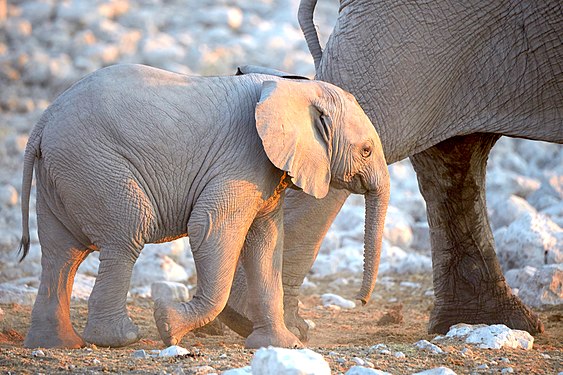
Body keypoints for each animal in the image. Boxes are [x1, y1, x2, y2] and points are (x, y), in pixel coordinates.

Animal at [20, 64, 392, 350]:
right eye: (367, 151)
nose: (360, 301)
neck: (294, 88)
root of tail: (43, 121)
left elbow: (266, 244)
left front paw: (282, 346)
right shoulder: (241, 160)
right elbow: (210, 228)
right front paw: (167, 325)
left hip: (64, 172)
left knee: (61, 253)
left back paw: (57, 343)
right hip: (95, 165)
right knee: (126, 234)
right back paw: (119, 339)